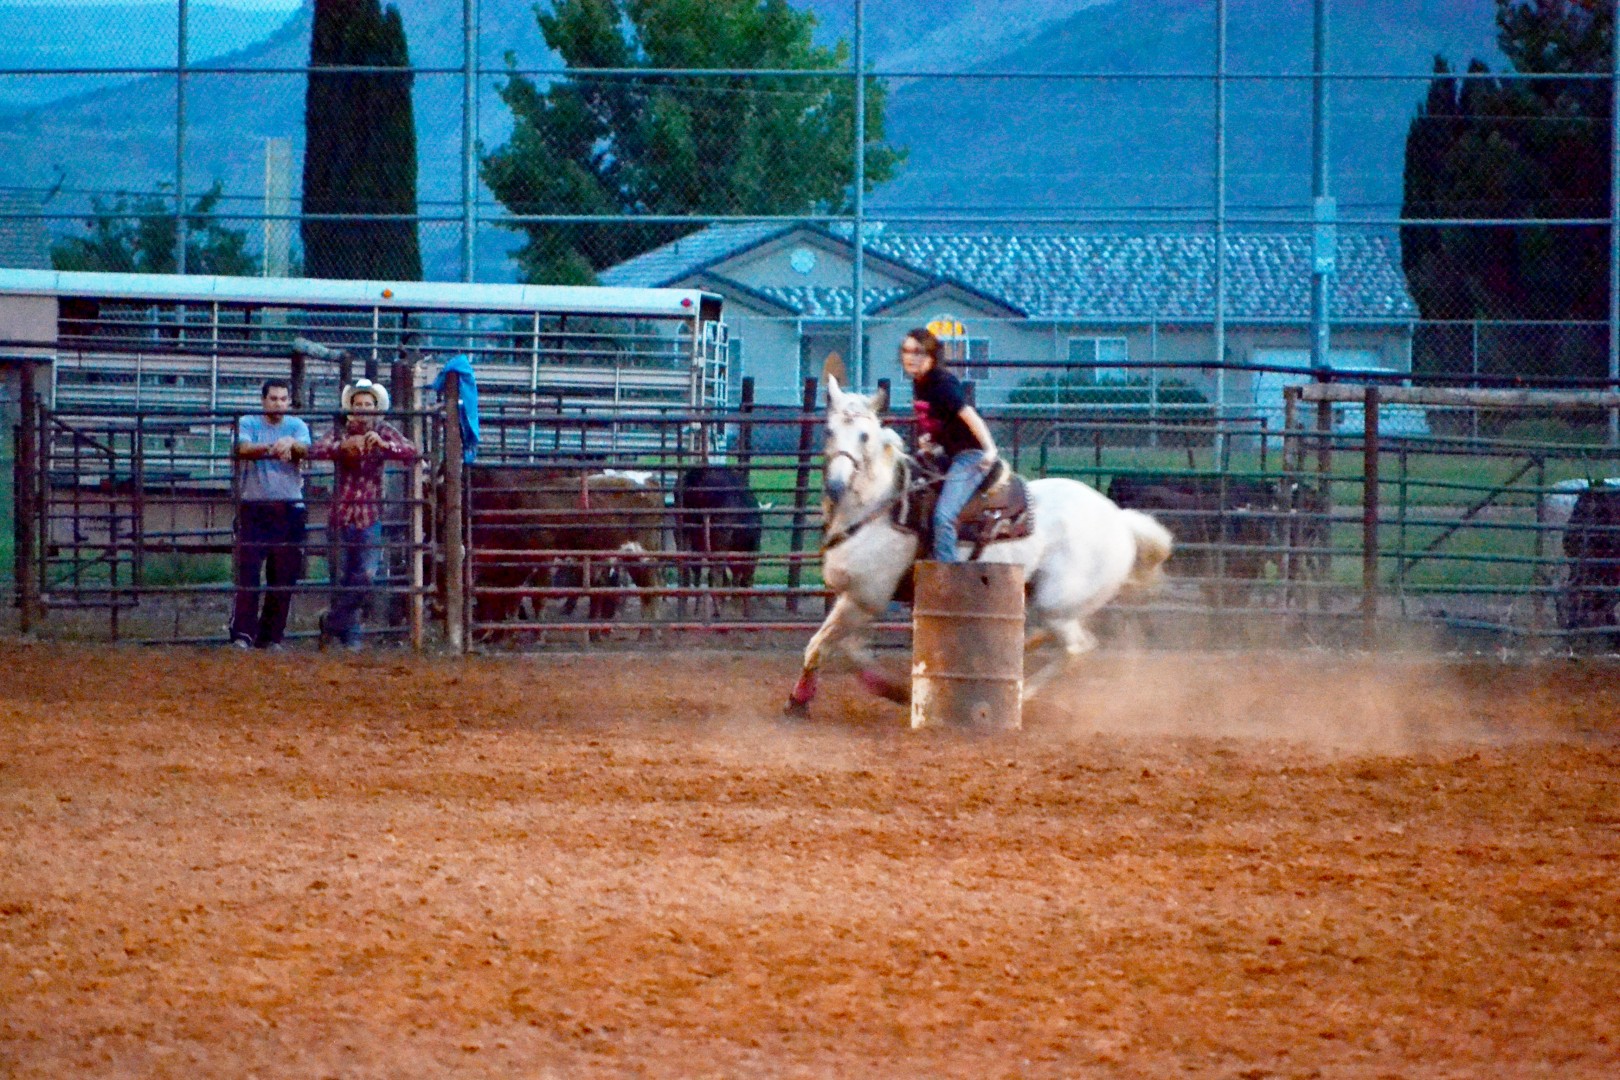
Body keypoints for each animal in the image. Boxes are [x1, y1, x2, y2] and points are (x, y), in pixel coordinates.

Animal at [677, 466, 764, 615]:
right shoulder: (753, 548)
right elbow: (746, 578)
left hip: (683, 531)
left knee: (687, 570)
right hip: (720, 535)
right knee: (713, 574)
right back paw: (717, 611)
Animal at [780, 380, 1172, 718]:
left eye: (864, 435)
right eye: (829, 431)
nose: (835, 485)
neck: (878, 506)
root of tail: (1120, 520)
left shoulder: (865, 599)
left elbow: (821, 646)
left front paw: (801, 702)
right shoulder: (856, 598)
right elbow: (844, 650)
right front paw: (876, 689)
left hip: (1057, 605)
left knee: (1075, 648)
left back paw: (1021, 696)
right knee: (1049, 638)